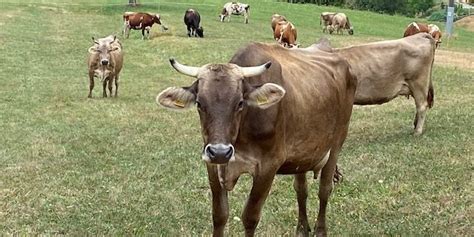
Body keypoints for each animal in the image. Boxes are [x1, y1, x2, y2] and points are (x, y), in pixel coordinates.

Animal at [156, 41, 356, 236]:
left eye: (240, 103)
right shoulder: (212, 165)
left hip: (336, 143)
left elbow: (250, 217)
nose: (220, 152)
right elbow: (219, 215)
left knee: (324, 190)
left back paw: (320, 230)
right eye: (199, 103)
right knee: (301, 190)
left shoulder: (268, 166)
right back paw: (301, 229)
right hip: (303, 153)